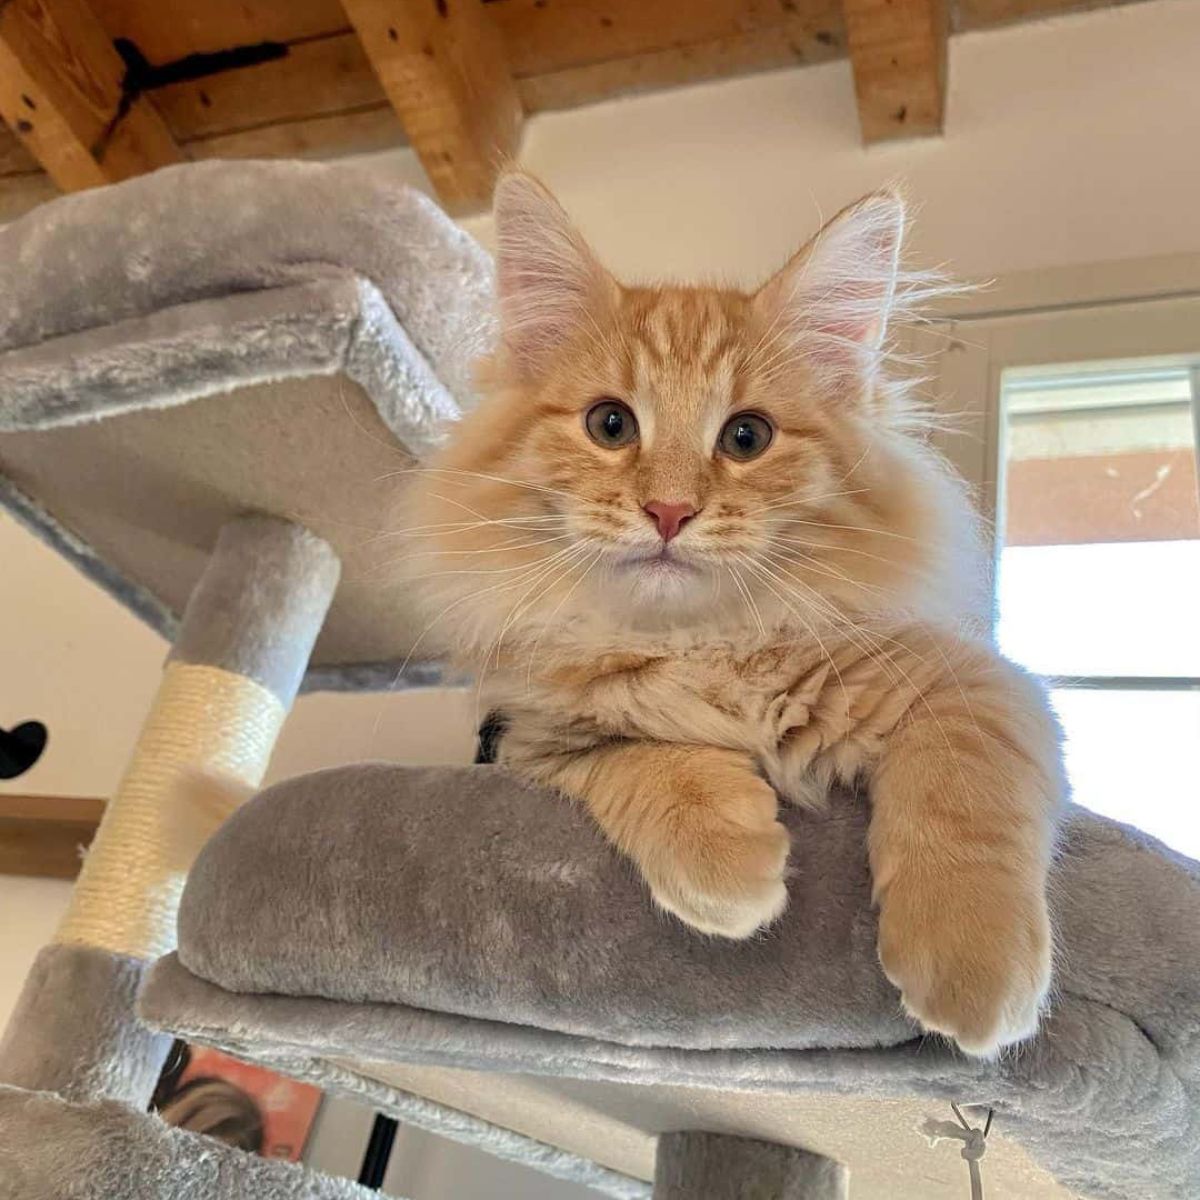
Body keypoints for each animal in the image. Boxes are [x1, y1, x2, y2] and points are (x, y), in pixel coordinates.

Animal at [403, 174, 1070, 1056]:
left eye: (746, 438)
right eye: (610, 424)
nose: (669, 511)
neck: (702, 648)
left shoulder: (975, 685)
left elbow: (964, 806)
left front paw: (972, 971)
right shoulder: (528, 739)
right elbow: (643, 756)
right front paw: (726, 866)